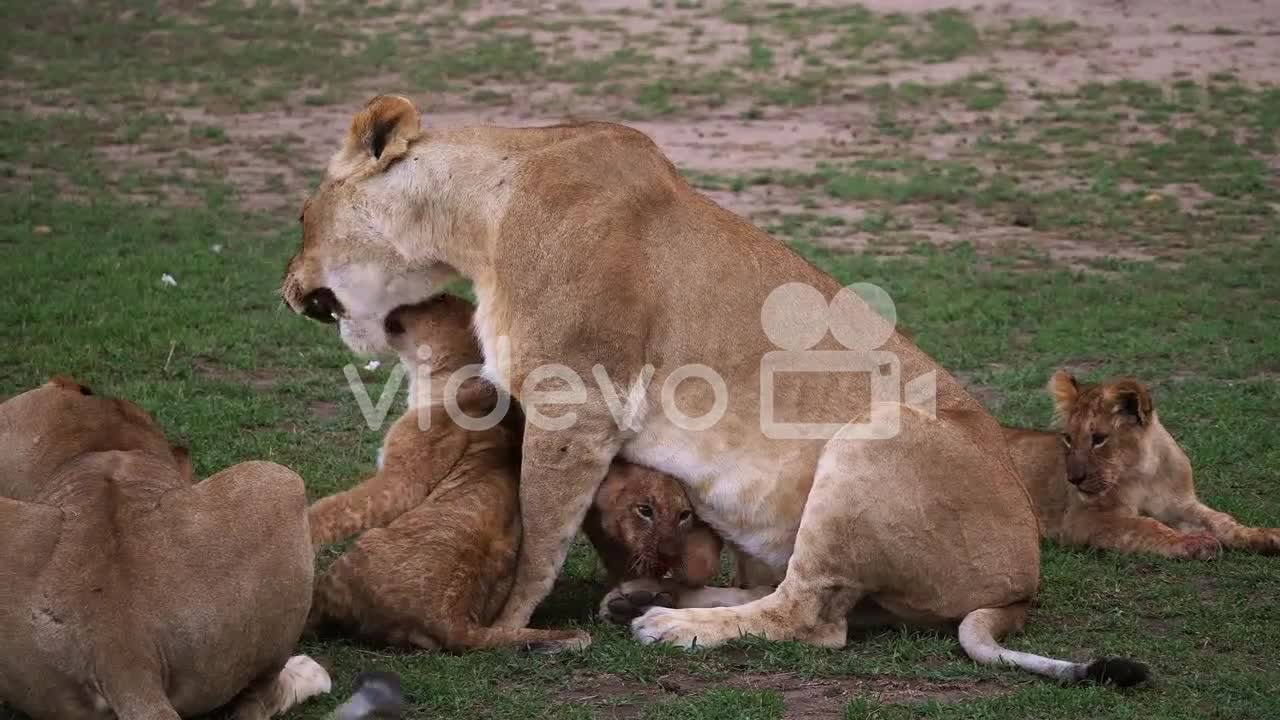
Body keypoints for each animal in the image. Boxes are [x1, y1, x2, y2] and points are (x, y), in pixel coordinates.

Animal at [285, 96, 1146, 681]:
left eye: (300, 216)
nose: (288, 290)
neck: (477, 214)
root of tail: (1028, 574)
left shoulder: (577, 401)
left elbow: (536, 538)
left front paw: (505, 624)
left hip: (878, 441)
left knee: (813, 618)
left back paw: (673, 626)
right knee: (812, 596)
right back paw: (646, 602)